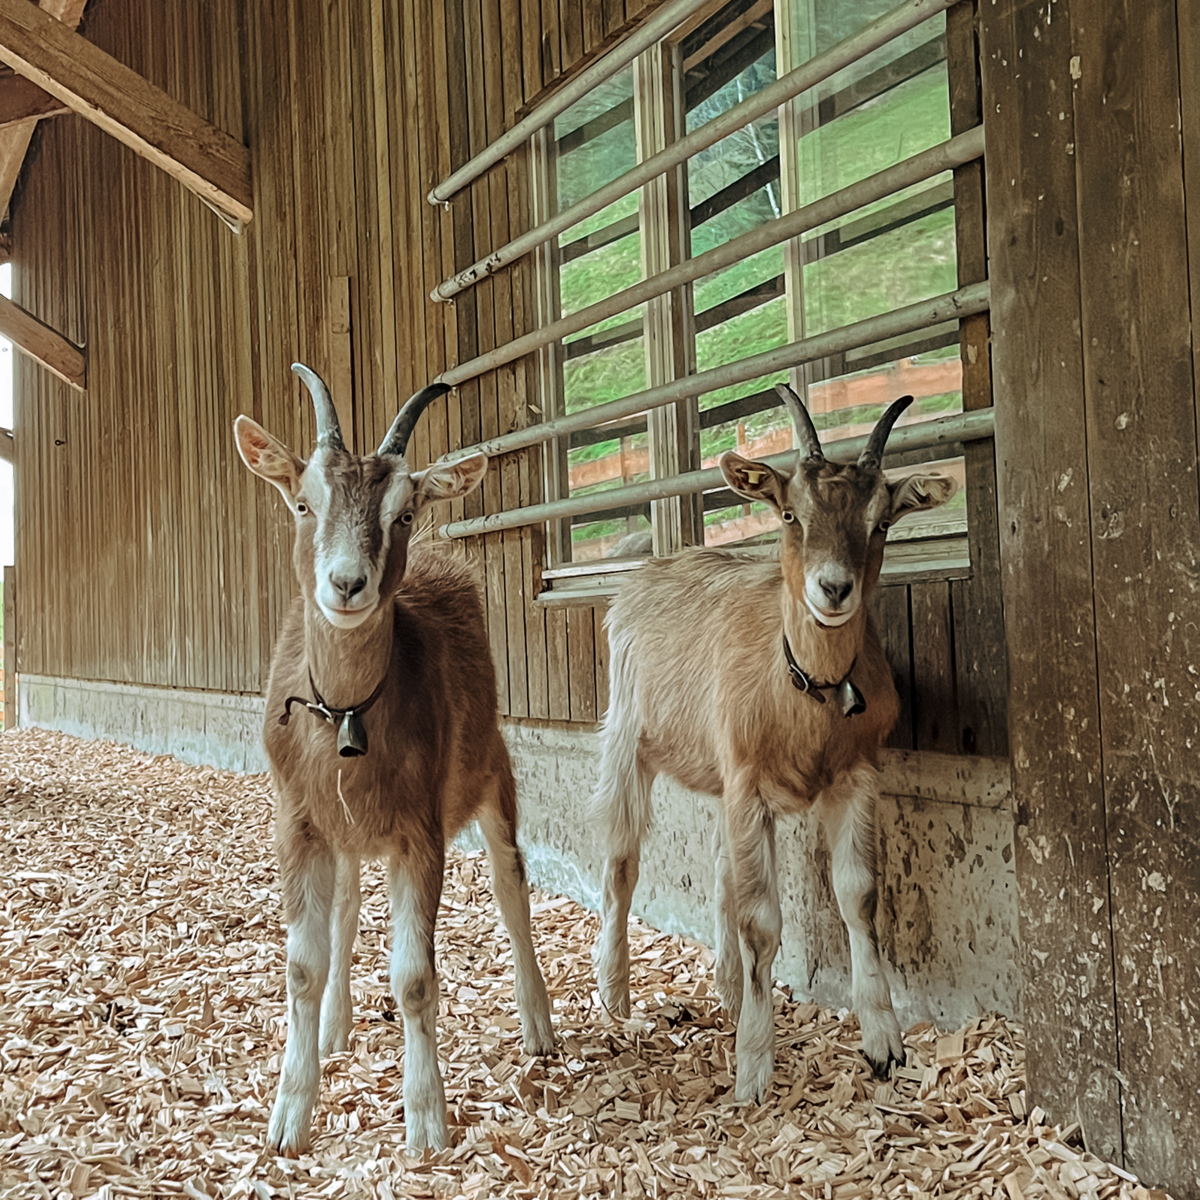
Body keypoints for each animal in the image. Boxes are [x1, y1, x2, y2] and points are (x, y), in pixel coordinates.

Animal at [236, 364, 554, 1152]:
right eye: (302, 503)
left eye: (403, 512)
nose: (348, 584)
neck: (349, 713)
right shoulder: (299, 822)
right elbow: (302, 965)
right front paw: (289, 1117)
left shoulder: (420, 829)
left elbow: (414, 978)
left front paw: (427, 1120)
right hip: (346, 831)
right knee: (348, 908)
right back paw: (335, 1029)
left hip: (493, 770)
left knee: (512, 888)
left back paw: (539, 1025)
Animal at [590, 386, 955, 1104]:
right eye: (791, 514)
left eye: (881, 523)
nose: (834, 589)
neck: (805, 687)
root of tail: (645, 571)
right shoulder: (749, 784)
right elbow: (762, 921)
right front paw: (754, 1068)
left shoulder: (852, 776)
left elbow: (858, 897)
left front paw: (884, 1042)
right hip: (628, 737)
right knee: (621, 860)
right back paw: (615, 994)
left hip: (718, 772)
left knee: (721, 868)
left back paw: (731, 990)